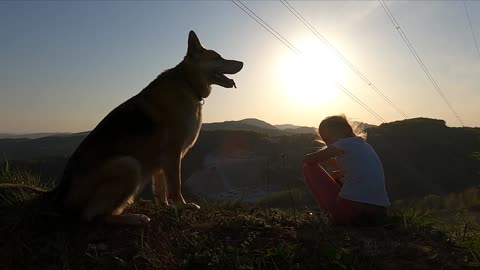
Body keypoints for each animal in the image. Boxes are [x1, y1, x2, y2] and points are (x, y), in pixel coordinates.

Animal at [1, 30, 244, 226]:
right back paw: (133, 218)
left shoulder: (163, 160)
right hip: (129, 165)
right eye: (218, 58)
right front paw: (183, 206)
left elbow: (161, 189)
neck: (187, 83)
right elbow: (175, 186)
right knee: (91, 217)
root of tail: (60, 192)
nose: (242, 63)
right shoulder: (173, 154)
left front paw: (166, 207)